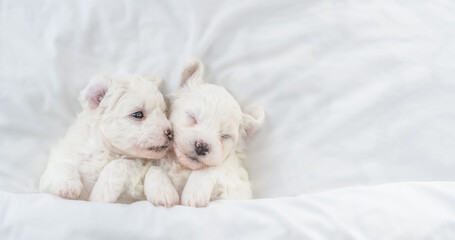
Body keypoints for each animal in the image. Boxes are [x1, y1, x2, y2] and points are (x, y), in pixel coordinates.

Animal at [39, 74, 175, 202]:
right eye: (138, 114)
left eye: (164, 112)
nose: (170, 133)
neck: (105, 151)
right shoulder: (49, 175)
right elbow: (61, 165)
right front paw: (68, 186)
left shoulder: (135, 169)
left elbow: (120, 164)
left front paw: (102, 193)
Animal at [146, 59, 266, 207]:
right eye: (192, 117)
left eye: (225, 136)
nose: (202, 146)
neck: (184, 166)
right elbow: (152, 168)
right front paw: (162, 192)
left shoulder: (236, 187)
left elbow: (211, 168)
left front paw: (193, 194)